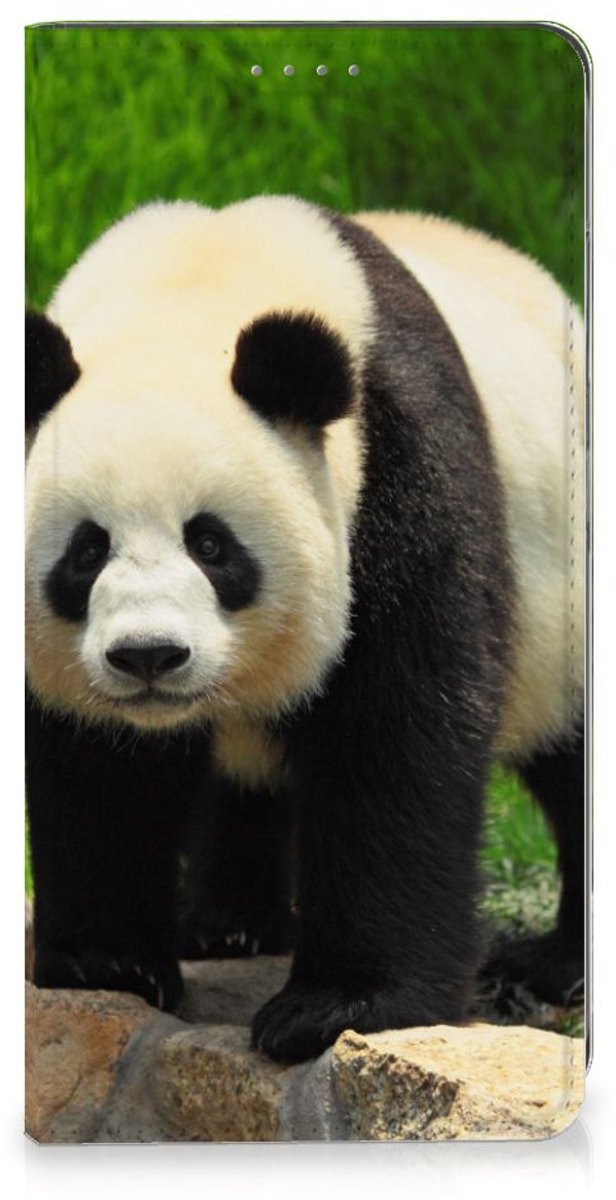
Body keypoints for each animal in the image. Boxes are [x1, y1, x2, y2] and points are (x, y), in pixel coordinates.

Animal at [25, 195, 585, 1063]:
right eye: (87, 551)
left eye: (212, 544)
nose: (149, 656)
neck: (193, 287)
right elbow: (96, 766)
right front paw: (106, 963)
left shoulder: (399, 470)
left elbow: (394, 736)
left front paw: (339, 1006)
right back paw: (227, 925)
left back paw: (556, 965)